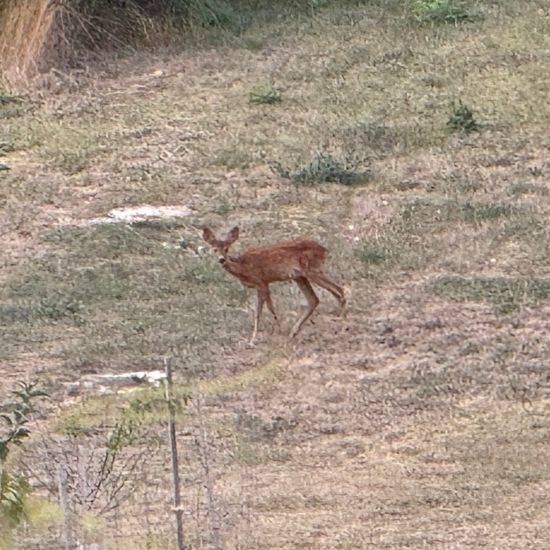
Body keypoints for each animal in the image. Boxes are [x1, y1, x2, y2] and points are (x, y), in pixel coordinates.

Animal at [205, 226, 348, 342]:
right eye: (214, 249)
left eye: (226, 249)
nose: (222, 260)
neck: (242, 267)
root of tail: (324, 250)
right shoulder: (262, 284)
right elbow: (261, 311)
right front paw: (256, 337)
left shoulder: (261, 281)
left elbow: (266, 310)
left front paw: (273, 332)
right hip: (300, 276)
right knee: (314, 299)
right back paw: (293, 332)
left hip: (312, 270)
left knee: (338, 288)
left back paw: (341, 318)